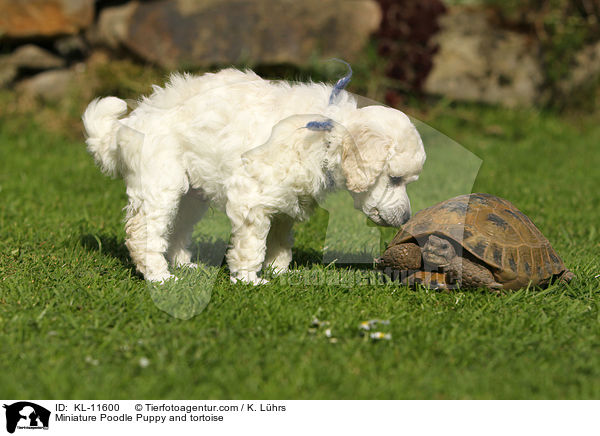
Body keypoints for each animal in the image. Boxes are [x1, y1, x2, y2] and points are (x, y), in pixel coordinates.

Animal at [83, 67, 426, 286]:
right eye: (395, 179)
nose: (406, 217)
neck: (325, 133)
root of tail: (126, 125)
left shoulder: (290, 198)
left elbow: (281, 239)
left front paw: (279, 271)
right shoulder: (252, 199)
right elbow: (252, 243)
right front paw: (250, 279)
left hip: (191, 192)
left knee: (178, 226)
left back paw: (184, 263)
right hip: (161, 183)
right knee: (143, 231)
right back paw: (160, 276)